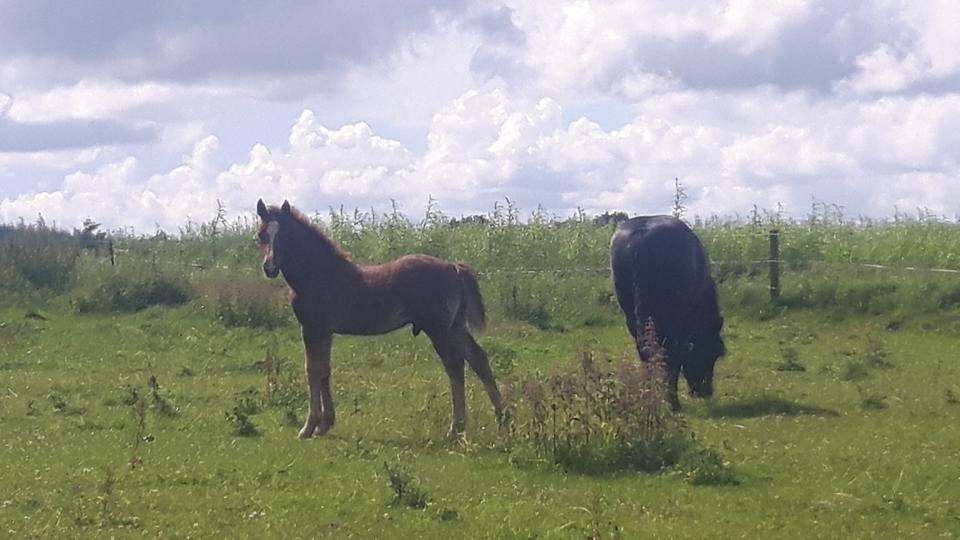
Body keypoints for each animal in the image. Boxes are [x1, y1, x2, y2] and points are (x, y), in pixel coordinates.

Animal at [612, 215, 724, 410]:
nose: (707, 392)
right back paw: (673, 402)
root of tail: (641, 234)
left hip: (632, 317)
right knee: (670, 354)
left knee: (645, 351)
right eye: (712, 353)